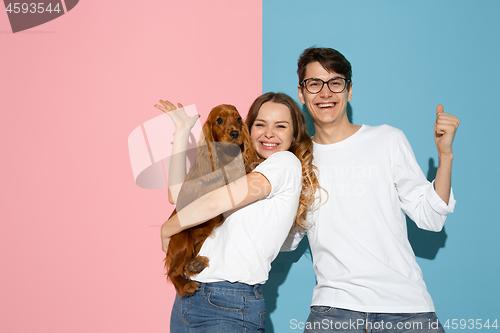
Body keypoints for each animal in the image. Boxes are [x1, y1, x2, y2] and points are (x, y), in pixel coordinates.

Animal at [165, 103, 260, 296]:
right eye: (219, 120)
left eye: (239, 119)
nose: (235, 133)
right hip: (181, 240)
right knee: (173, 271)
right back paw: (186, 285)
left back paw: (195, 264)